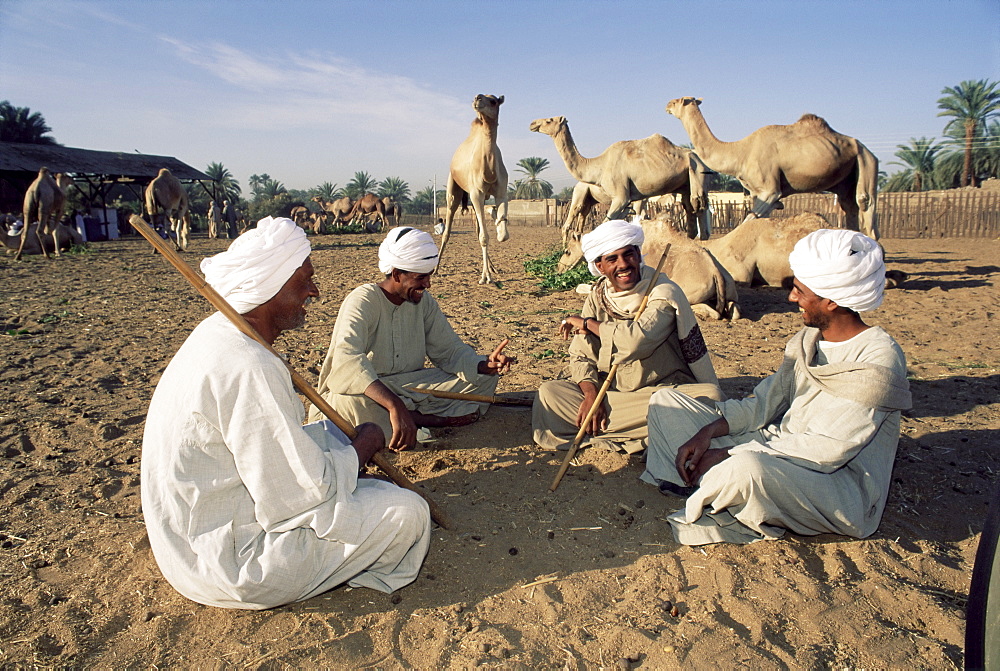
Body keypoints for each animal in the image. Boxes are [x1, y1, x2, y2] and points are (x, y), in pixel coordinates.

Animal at [444, 93, 512, 284]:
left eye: (494, 101)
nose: (477, 98)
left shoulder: (501, 192)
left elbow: (501, 235)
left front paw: (499, 224)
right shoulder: (477, 193)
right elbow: (484, 236)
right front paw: (485, 277)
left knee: (477, 229)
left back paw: (493, 267)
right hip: (454, 190)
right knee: (447, 229)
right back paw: (435, 269)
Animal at [528, 115, 716, 252]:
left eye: (549, 120)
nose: (532, 123)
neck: (598, 166)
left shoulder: (621, 197)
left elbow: (608, 225)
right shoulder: (630, 200)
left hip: (697, 173)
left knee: (699, 208)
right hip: (685, 185)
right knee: (690, 211)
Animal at [668, 96, 880, 239]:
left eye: (679, 101)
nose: (667, 104)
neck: (741, 151)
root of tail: (864, 147)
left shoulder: (770, 190)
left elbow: (748, 221)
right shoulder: (757, 192)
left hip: (866, 161)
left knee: (865, 201)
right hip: (848, 177)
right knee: (849, 205)